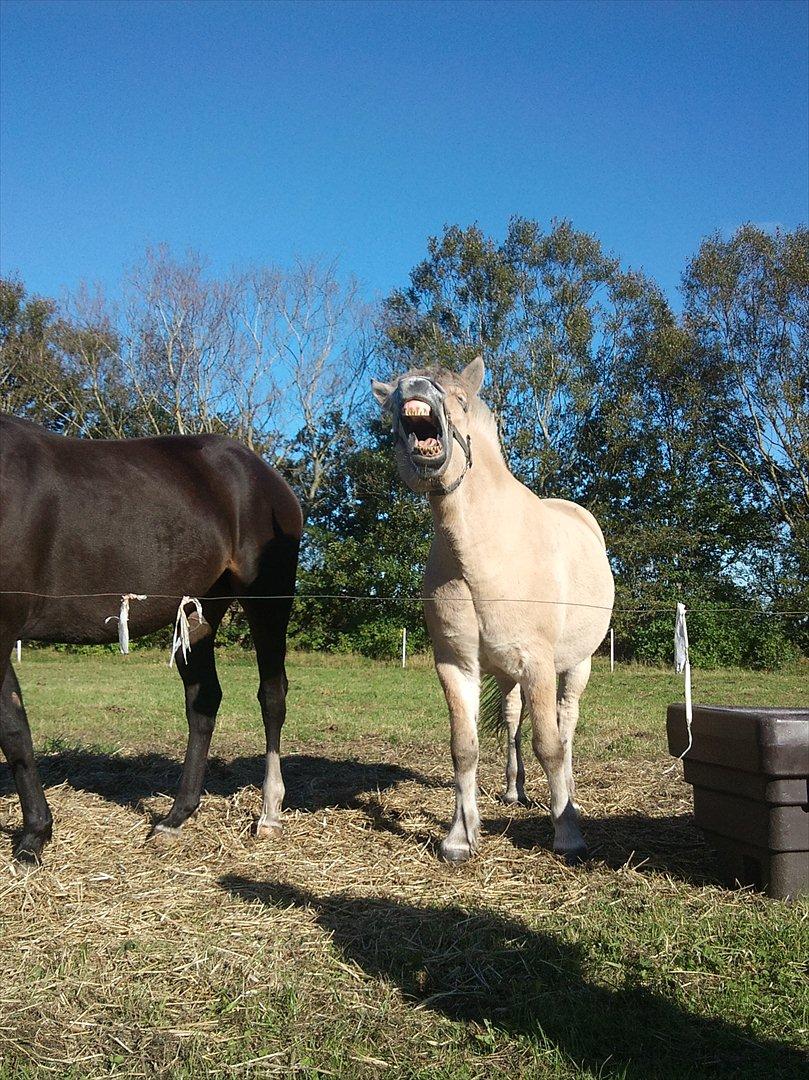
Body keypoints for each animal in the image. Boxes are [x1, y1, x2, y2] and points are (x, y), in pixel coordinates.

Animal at [0, 412, 302, 859]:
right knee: (203, 701)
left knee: (272, 695)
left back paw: (269, 813)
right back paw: (176, 818)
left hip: (267, 601)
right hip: (197, 614)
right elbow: (15, 728)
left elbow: (13, 730)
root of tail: (266, 474)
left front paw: (35, 836)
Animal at [371, 358, 613, 864]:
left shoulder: (538, 663)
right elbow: (464, 748)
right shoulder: (457, 665)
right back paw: (513, 791)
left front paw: (568, 835)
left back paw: (572, 796)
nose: (415, 389)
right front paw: (460, 838)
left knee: (566, 723)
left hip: (576, 664)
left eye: (461, 399)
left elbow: (549, 745)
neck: (482, 551)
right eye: (391, 402)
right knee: (513, 718)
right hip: (505, 674)